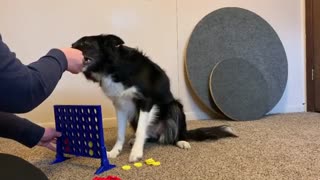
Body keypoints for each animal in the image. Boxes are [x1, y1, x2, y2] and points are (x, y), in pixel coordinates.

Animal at [72, 33, 238, 162]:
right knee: (148, 134)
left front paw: (136, 154)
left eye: (85, 43)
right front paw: (114, 152)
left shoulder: (146, 101)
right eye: (74, 44)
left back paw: (181, 141)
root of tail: (160, 134)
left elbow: (140, 130)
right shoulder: (120, 105)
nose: (69, 47)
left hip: (175, 107)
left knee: (175, 134)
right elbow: (120, 133)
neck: (112, 67)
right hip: (135, 116)